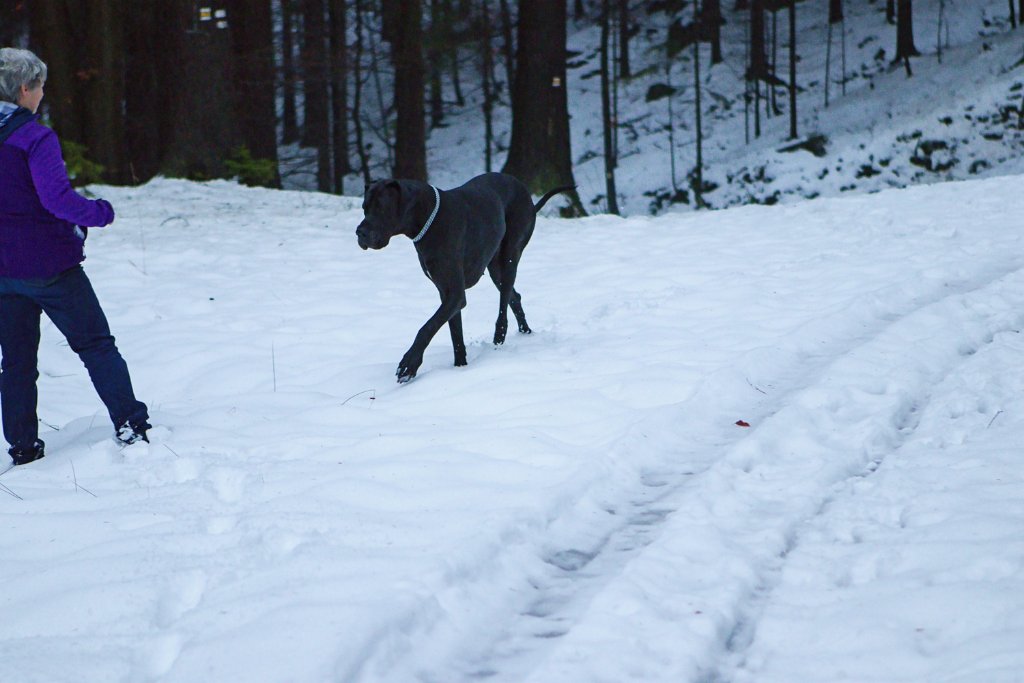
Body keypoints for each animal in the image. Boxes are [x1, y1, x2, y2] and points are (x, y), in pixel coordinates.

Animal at [356, 171, 573, 382]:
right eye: (364, 208)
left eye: (382, 208)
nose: (360, 233)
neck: (429, 220)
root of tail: (524, 190)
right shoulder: (447, 293)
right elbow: (455, 333)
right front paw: (460, 368)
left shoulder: (455, 294)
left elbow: (427, 327)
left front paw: (409, 364)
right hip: (495, 268)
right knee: (514, 296)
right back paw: (526, 333)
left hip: (510, 256)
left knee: (503, 306)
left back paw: (499, 339)